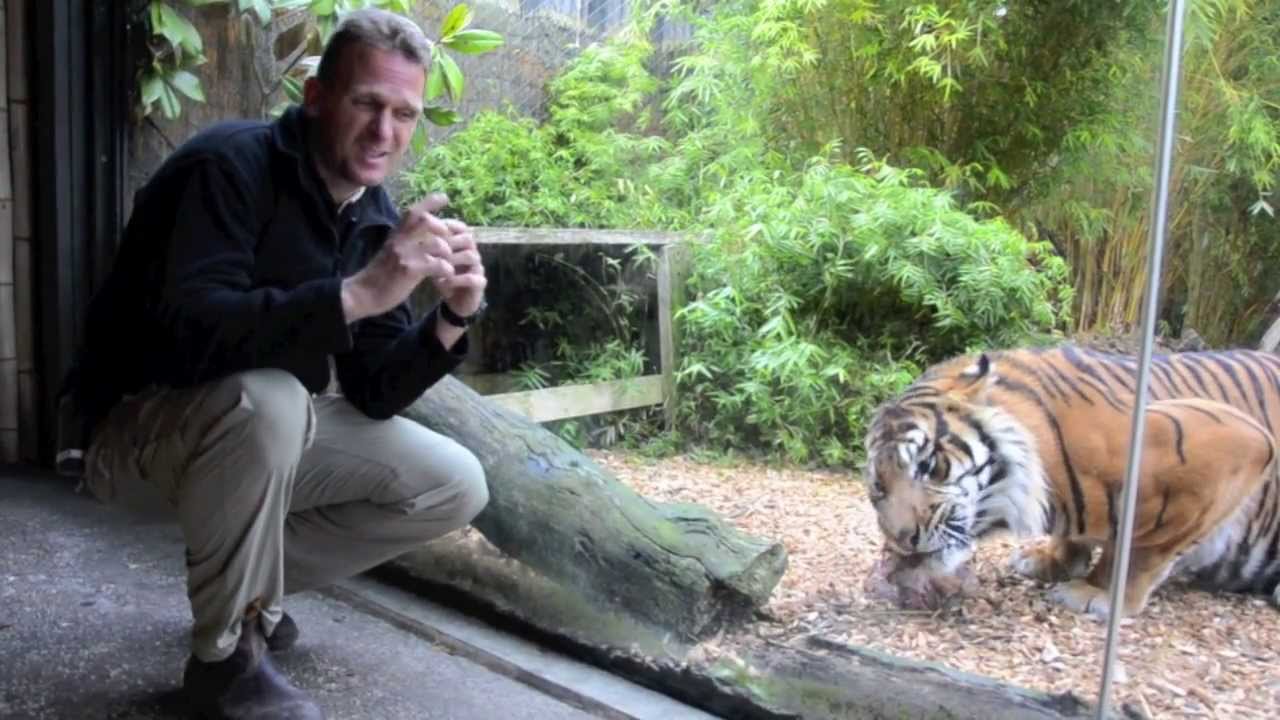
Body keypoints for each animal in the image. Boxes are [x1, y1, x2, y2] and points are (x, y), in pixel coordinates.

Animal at [862, 344, 1280, 619]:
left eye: (929, 464)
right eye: (879, 488)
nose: (904, 540)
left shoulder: (1241, 444)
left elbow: (1141, 549)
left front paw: (1098, 591)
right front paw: (1052, 559)